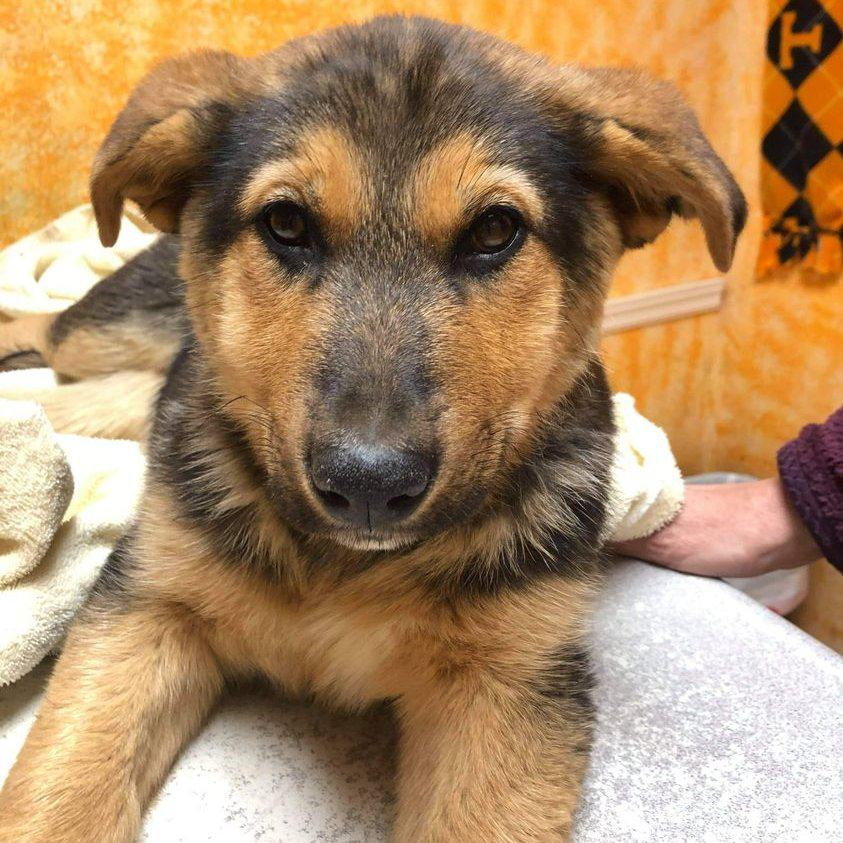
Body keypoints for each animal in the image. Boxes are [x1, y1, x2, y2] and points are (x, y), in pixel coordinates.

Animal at [0, 14, 744, 843]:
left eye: (495, 230)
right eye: (285, 223)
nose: (367, 485)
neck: (344, 565)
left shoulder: (510, 681)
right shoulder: (148, 602)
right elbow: (59, 787)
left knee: (104, 389)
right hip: (111, 329)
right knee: (47, 328)